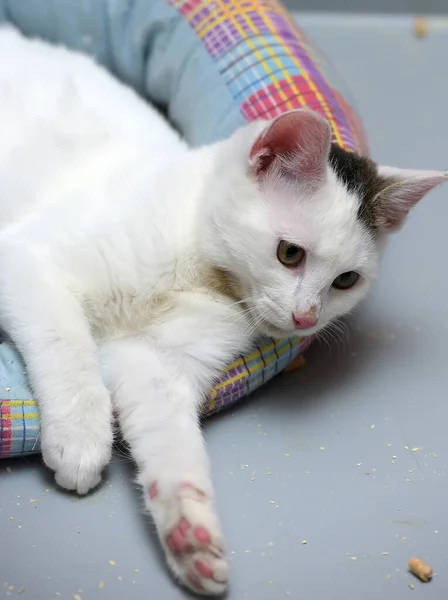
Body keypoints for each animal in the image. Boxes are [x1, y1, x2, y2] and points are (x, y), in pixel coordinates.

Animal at [0, 27, 444, 596]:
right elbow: (68, 345)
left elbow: (173, 443)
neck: (201, 271)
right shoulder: (24, 258)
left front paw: (191, 533)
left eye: (346, 281)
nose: (307, 318)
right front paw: (81, 436)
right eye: (289, 253)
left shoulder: (157, 365)